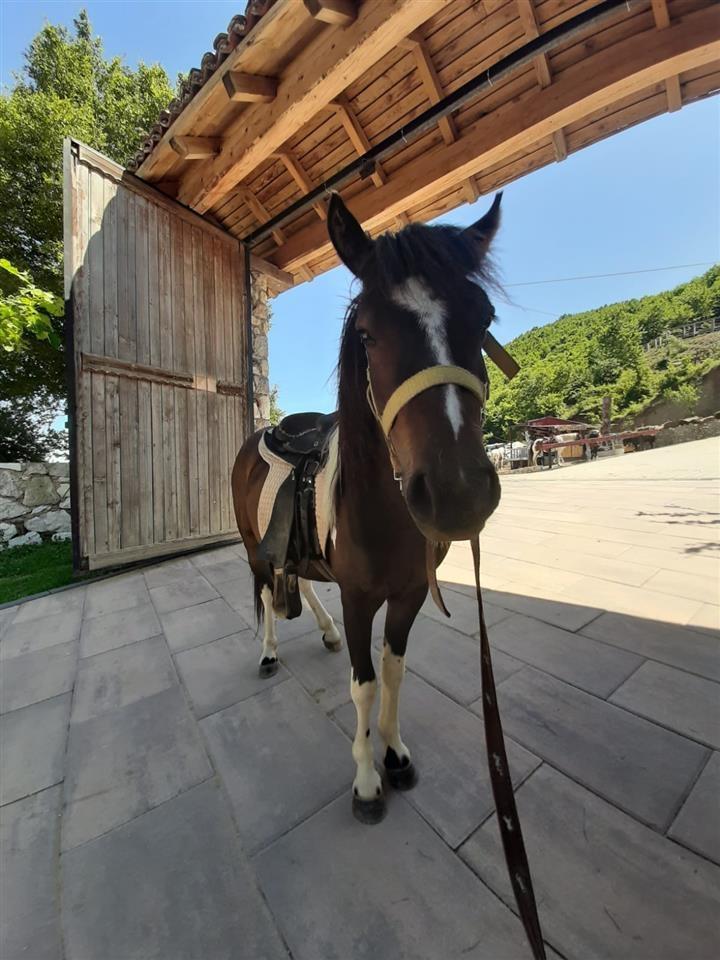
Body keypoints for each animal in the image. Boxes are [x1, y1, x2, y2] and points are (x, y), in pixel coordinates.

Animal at [231, 192, 502, 824]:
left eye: (483, 319)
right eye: (367, 334)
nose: (458, 493)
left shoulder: (408, 595)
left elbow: (394, 671)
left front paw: (395, 753)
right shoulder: (358, 598)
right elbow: (364, 682)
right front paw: (365, 779)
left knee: (300, 580)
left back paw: (324, 631)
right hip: (252, 546)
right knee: (267, 590)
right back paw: (269, 653)